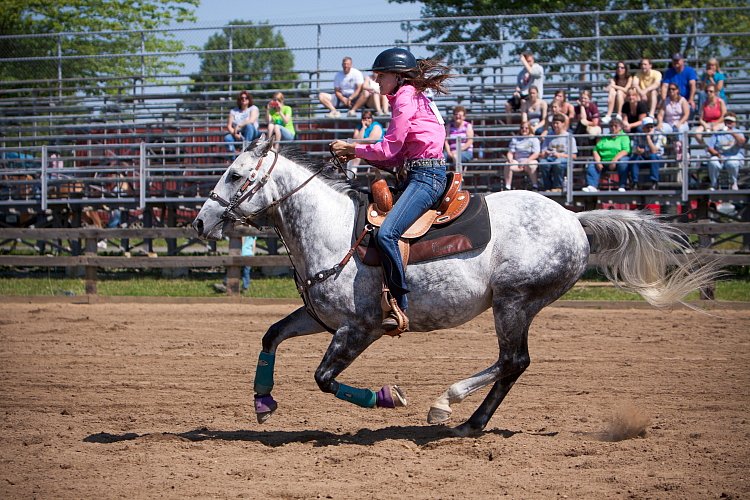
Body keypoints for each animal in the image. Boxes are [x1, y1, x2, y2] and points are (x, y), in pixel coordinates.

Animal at [194, 139, 716, 436]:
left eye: (235, 175)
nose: (200, 222)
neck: (334, 230)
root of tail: (574, 219)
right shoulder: (320, 319)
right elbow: (270, 335)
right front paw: (263, 403)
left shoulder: (360, 329)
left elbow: (324, 379)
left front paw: (387, 397)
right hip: (515, 306)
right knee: (512, 365)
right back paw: (466, 418)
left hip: (514, 302)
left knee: (513, 361)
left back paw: (452, 410)